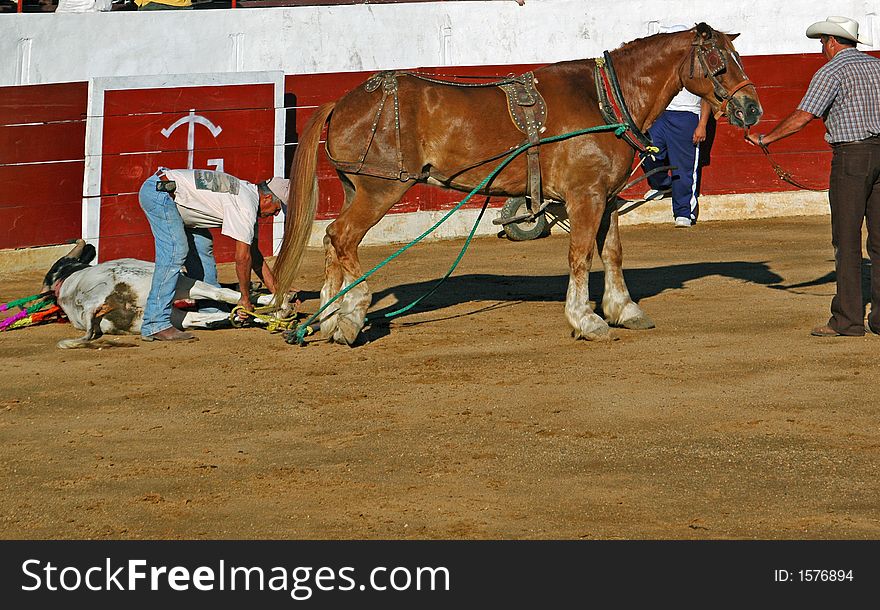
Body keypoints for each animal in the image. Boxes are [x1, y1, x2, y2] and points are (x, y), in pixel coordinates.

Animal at [276, 22, 764, 342]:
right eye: (721, 64)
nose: (751, 109)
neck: (605, 100)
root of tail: (344, 100)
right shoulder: (585, 197)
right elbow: (581, 255)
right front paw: (585, 319)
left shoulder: (605, 197)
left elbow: (613, 253)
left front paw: (624, 309)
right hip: (380, 190)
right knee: (342, 238)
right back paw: (352, 314)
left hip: (357, 188)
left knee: (333, 243)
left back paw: (329, 316)